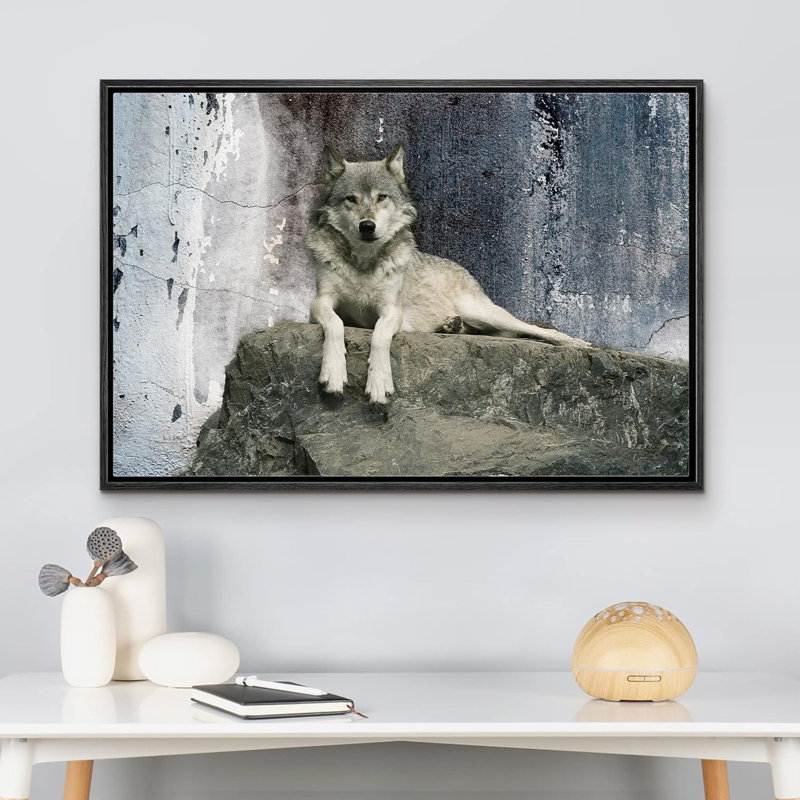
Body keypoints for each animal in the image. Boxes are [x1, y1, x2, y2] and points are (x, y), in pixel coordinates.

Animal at [304, 144, 591, 405]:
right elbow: (335, 324)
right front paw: (334, 372)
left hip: (483, 311)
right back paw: (453, 326)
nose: (367, 226)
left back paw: (578, 343)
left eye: (381, 197)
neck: (363, 262)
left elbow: (380, 335)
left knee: (534, 330)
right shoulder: (320, 301)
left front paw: (379, 382)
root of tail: (462, 269)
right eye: (351, 199)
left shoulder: (391, 310)